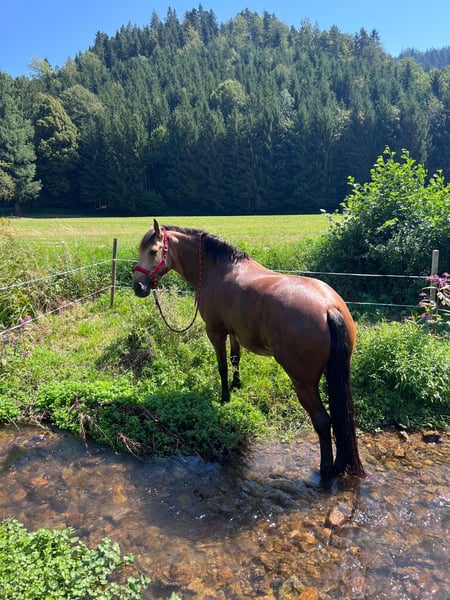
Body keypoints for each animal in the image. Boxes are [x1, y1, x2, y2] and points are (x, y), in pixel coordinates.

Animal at [133, 219, 365, 478]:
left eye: (153, 251)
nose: (138, 286)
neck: (217, 269)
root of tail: (328, 308)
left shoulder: (215, 332)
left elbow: (222, 366)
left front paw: (225, 396)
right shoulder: (235, 332)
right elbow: (235, 359)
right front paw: (237, 385)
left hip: (304, 383)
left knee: (323, 422)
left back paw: (326, 469)